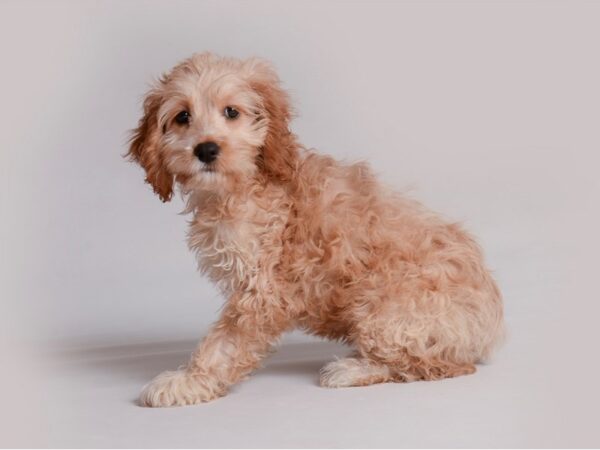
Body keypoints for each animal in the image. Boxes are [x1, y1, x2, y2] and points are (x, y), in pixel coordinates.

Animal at [129, 52, 504, 408]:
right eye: (182, 117)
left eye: (231, 112)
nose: (205, 149)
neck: (243, 186)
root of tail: (490, 328)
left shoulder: (262, 292)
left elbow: (224, 344)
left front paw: (187, 382)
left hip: (383, 311)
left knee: (433, 366)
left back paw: (351, 369)